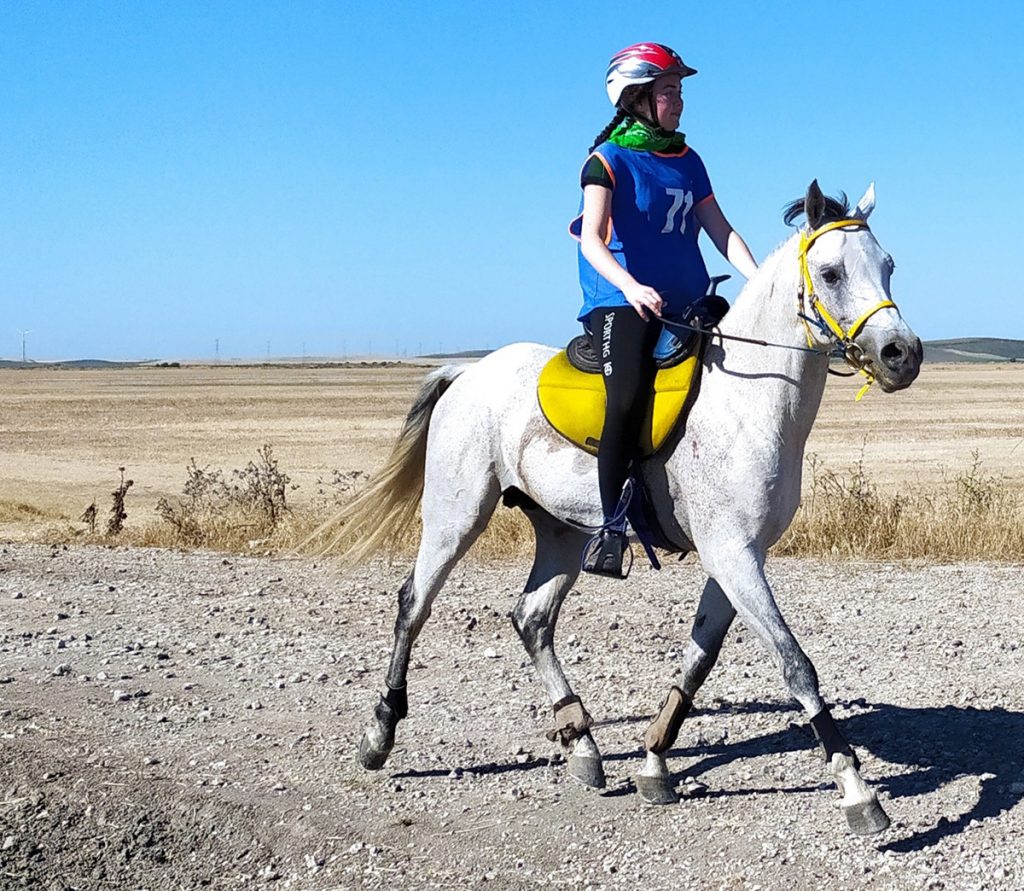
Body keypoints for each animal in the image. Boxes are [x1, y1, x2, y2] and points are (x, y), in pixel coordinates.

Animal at [331, 181, 925, 835]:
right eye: (831, 271)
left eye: (889, 265)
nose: (902, 354)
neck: (748, 400)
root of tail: (468, 371)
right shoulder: (733, 555)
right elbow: (796, 664)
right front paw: (856, 790)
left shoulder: (738, 557)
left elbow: (698, 658)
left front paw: (654, 762)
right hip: (455, 516)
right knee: (414, 604)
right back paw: (380, 734)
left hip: (561, 532)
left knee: (532, 618)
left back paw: (582, 744)